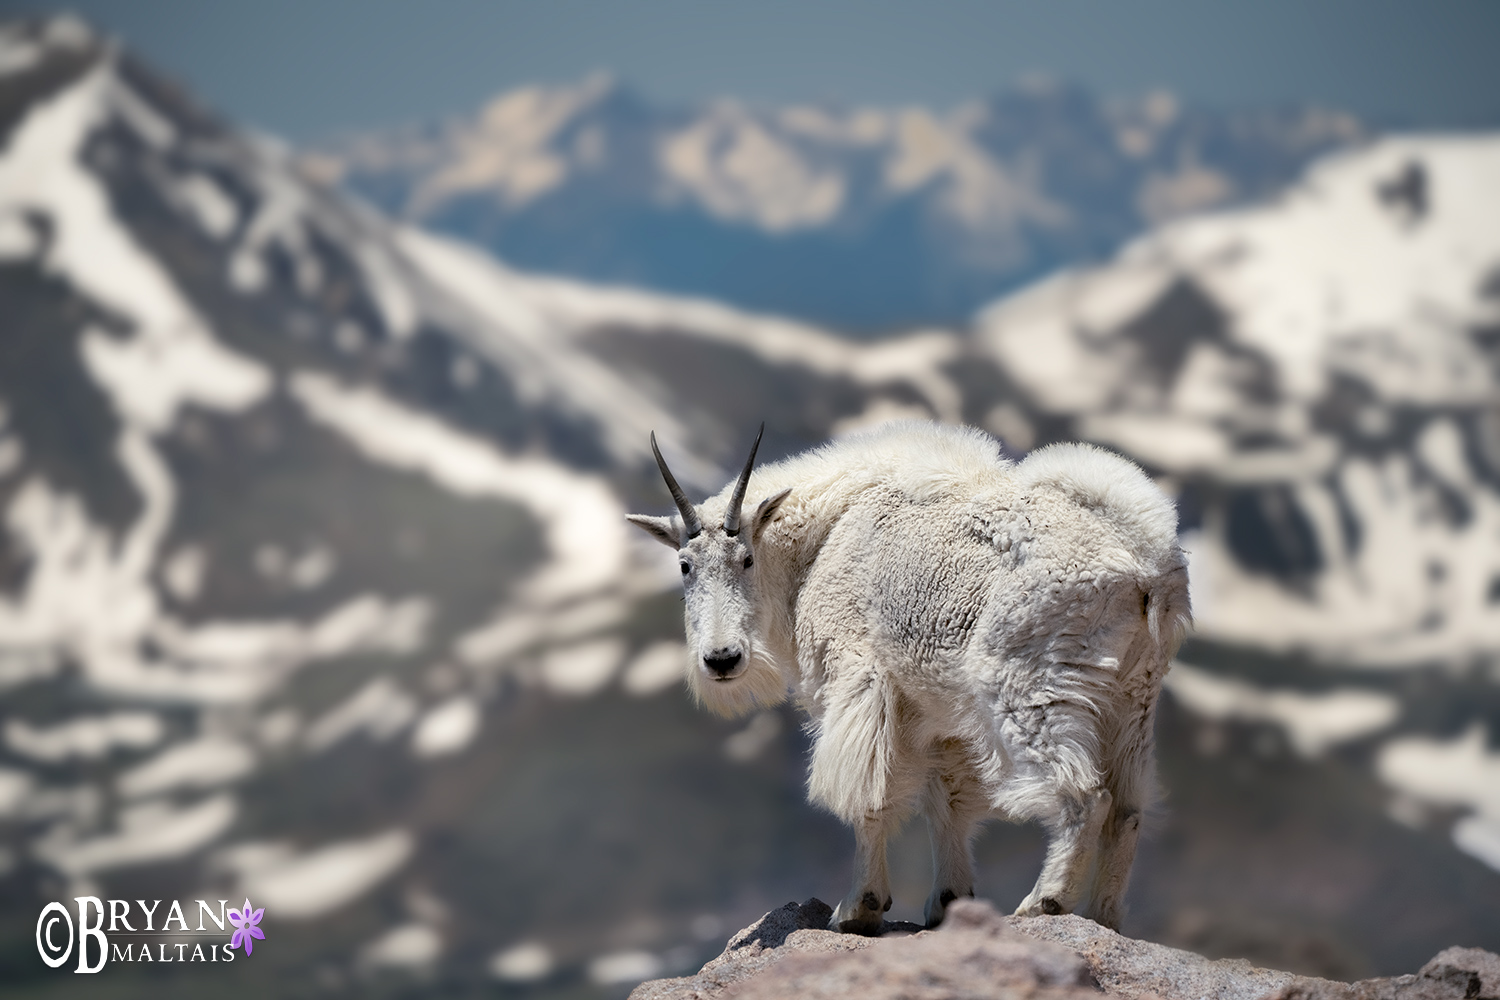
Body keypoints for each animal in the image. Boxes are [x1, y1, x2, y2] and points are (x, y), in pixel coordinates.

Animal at [627, 419, 1188, 929]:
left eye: (745, 558)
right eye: (684, 566)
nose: (722, 659)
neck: (819, 541)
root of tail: (1144, 565)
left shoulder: (861, 682)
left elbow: (869, 796)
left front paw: (858, 907)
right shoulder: (937, 713)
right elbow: (947, 803)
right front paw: (947, 902)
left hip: (1026, 684)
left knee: (1085, 795)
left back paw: (1044, 903)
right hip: (1132, 696)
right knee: (1128, 808)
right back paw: (1104, 916)